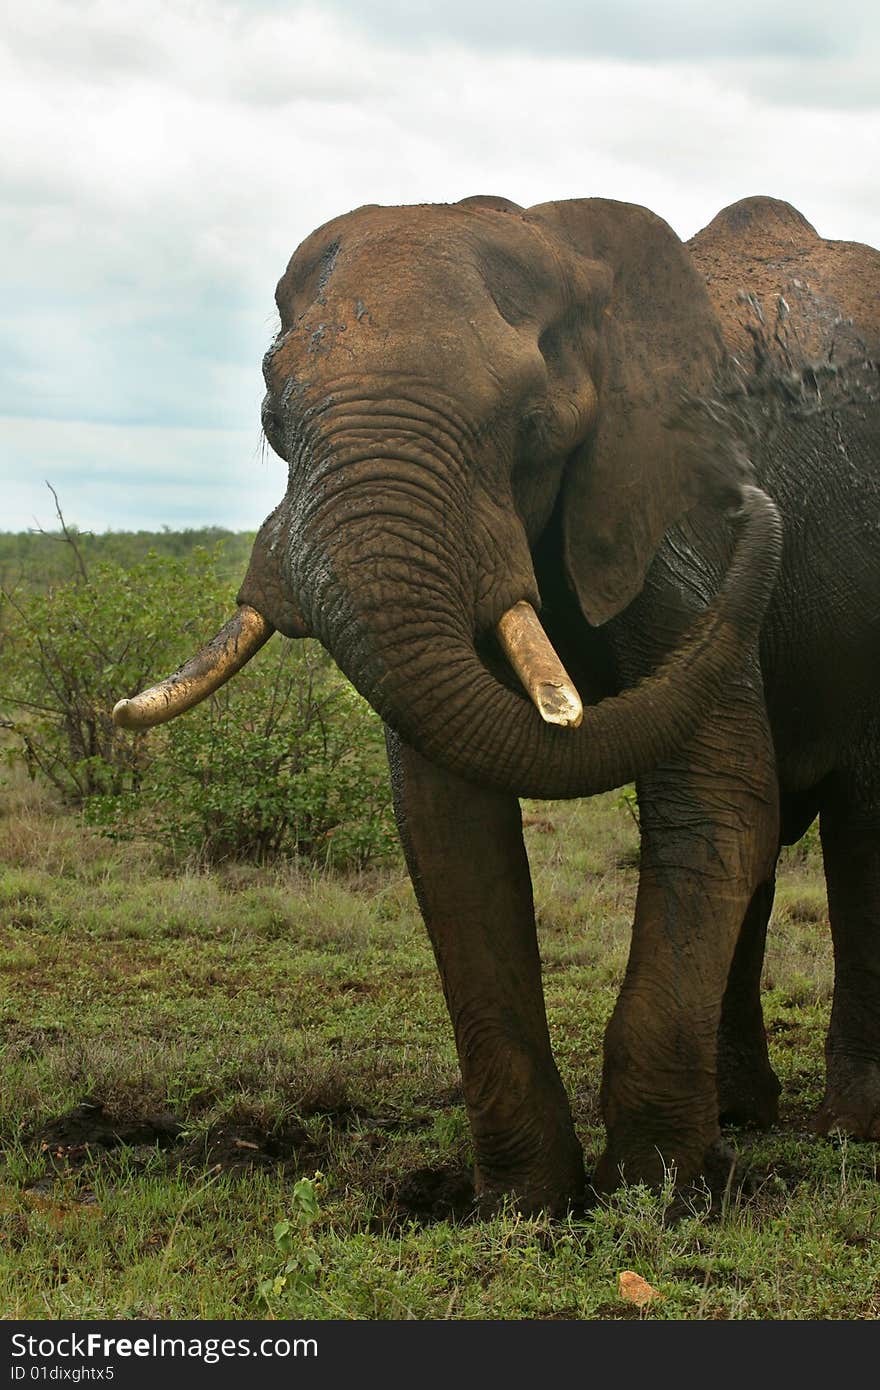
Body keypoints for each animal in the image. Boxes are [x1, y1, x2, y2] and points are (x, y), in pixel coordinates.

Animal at [113, 195, 873, 1217]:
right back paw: (744, 1119)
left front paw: (655, 1196)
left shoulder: (678, 500)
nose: (758, 503)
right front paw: (527, 1205)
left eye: (532, 423)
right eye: (273, 419)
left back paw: (845, 1130)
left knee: (860, 829)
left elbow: (717, 790)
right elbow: (450, 825)